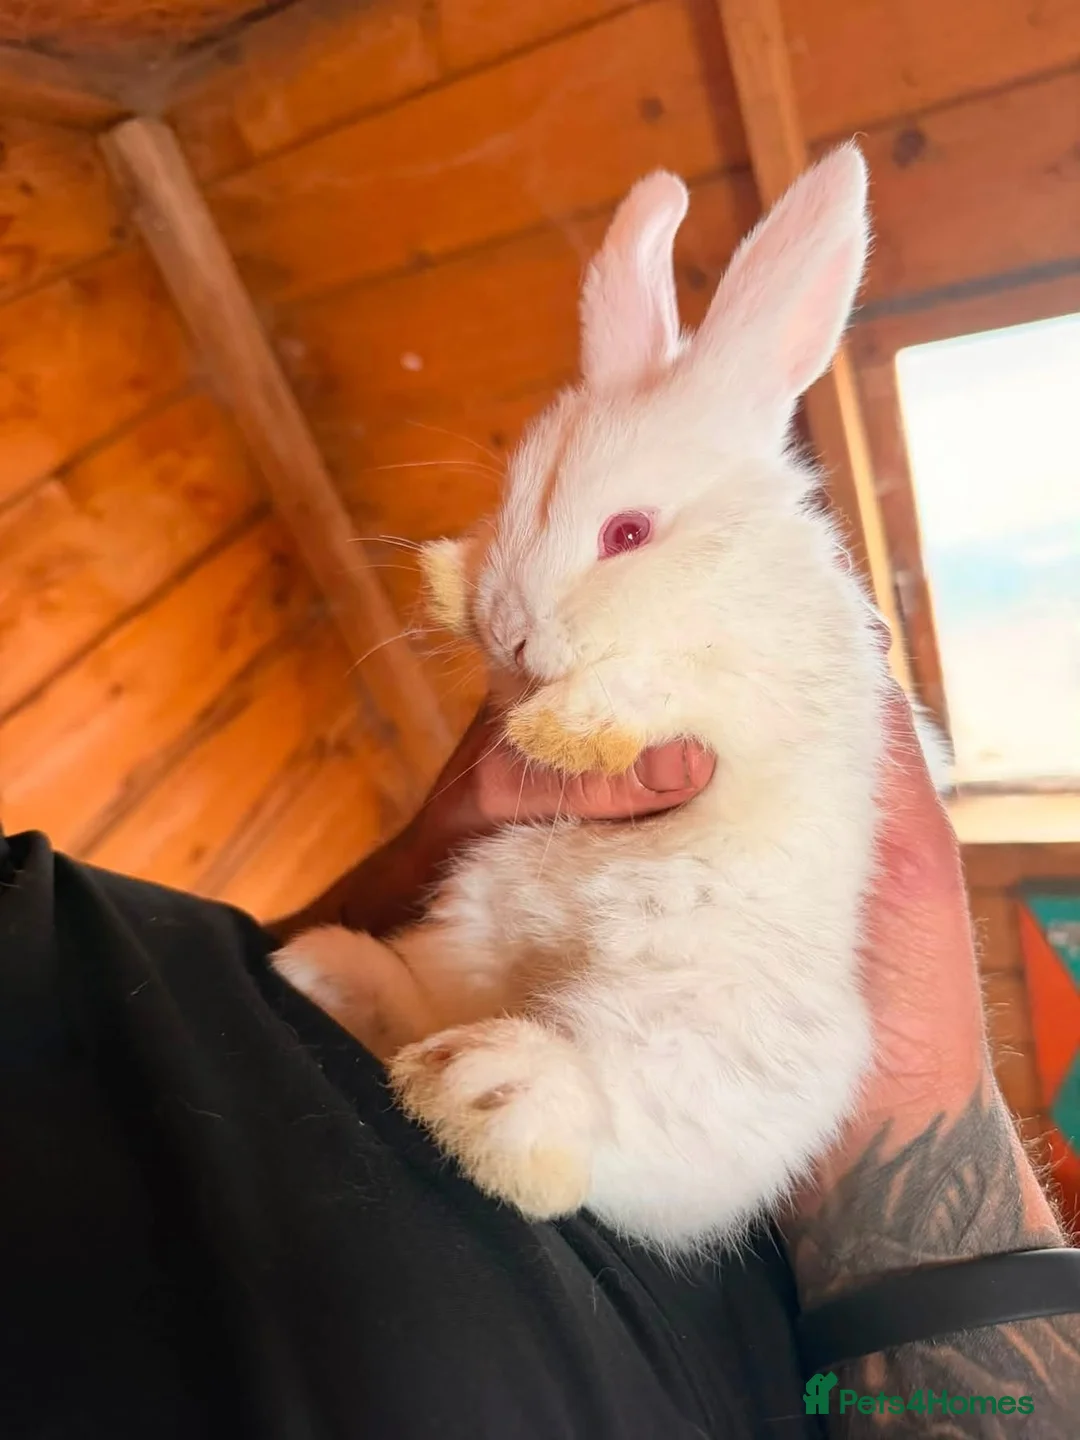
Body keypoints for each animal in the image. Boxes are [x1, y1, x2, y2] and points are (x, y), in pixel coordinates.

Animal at [274, 143, 894, 1254]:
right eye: (509, 504)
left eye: (627, 533)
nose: (509, 630)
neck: (714, 573)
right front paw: (450, 582)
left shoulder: (760, 685)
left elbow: (672, 682)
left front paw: (568, 729)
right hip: (464, 920)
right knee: (428, 1007)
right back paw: (338, 980)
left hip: (715, 1025)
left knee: (610, 1132)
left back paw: (495, 1091)